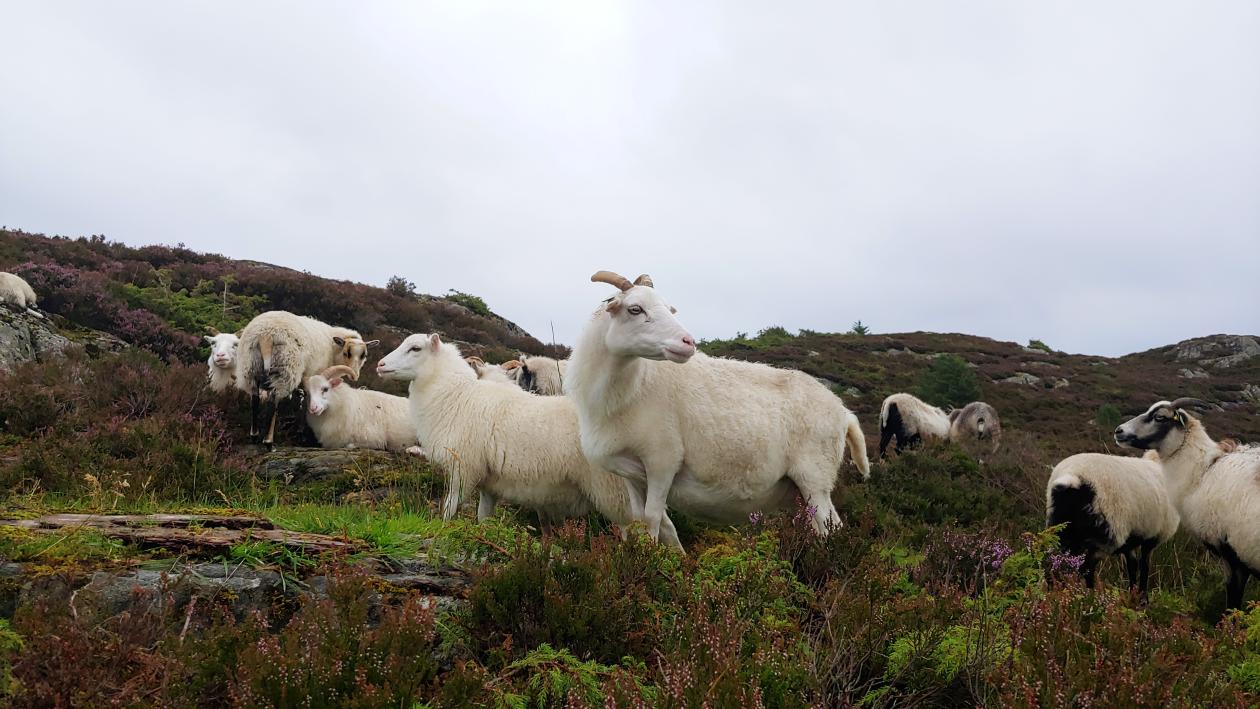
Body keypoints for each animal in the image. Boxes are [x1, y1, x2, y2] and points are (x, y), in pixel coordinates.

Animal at [234, 313, 375, 445]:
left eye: (364, 355)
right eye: (347, 353)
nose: (354, 376)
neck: (333, 349)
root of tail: (266, 336)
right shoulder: (313, 377)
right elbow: (306, 400)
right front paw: (302, 431)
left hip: (250, 366)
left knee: (255, 399)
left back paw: (254, 435)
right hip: (285, 368)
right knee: (273, 401)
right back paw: (268, 442)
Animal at [372, 334, 675, 546]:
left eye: (415, 348)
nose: (380, 364)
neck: (456, 395)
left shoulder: (463, 467)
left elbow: (449, 508)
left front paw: (442, 530)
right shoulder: (488, 482)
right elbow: (483, 517)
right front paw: (485, 536)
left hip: (613, 488)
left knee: (634, 527)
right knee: (665, 525)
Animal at [567, 269, 871, 541]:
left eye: (669, 308)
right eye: (635, 309)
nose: (688, 342)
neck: (633, 387)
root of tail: (844, 411)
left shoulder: (662, 461)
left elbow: (653, 519)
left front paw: (652, 559)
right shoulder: (631, 472)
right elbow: (642, 520)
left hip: (815, 475)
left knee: (833, 527)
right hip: (799, 488)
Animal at [1043, 453, 1179, 596]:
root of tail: (1073, 478)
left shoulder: (1130, 540)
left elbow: (1133, 565)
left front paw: (1132, 594)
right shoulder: (1152, 537)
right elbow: (1144, 567)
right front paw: (1142, 598)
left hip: (1061, 530)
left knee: (1053, 564)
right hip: (1106, 532)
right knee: (1085, 568)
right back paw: (1089, 596)